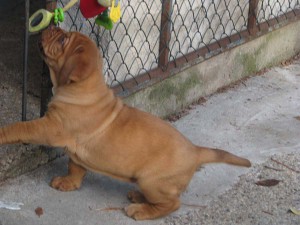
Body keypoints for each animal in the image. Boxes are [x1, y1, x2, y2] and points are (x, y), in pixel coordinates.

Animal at [0, 25, 251, 220]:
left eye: (62, 40)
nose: (52, 26)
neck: (82, 88)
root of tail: (196, 151)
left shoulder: (50, 127)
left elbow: (21, 127)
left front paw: (3, 132)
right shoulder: (75, 149)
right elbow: (75, 165)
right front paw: (68, 182)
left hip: (152, 180)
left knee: (172, 203)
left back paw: (141, 210)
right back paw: (139, 197)